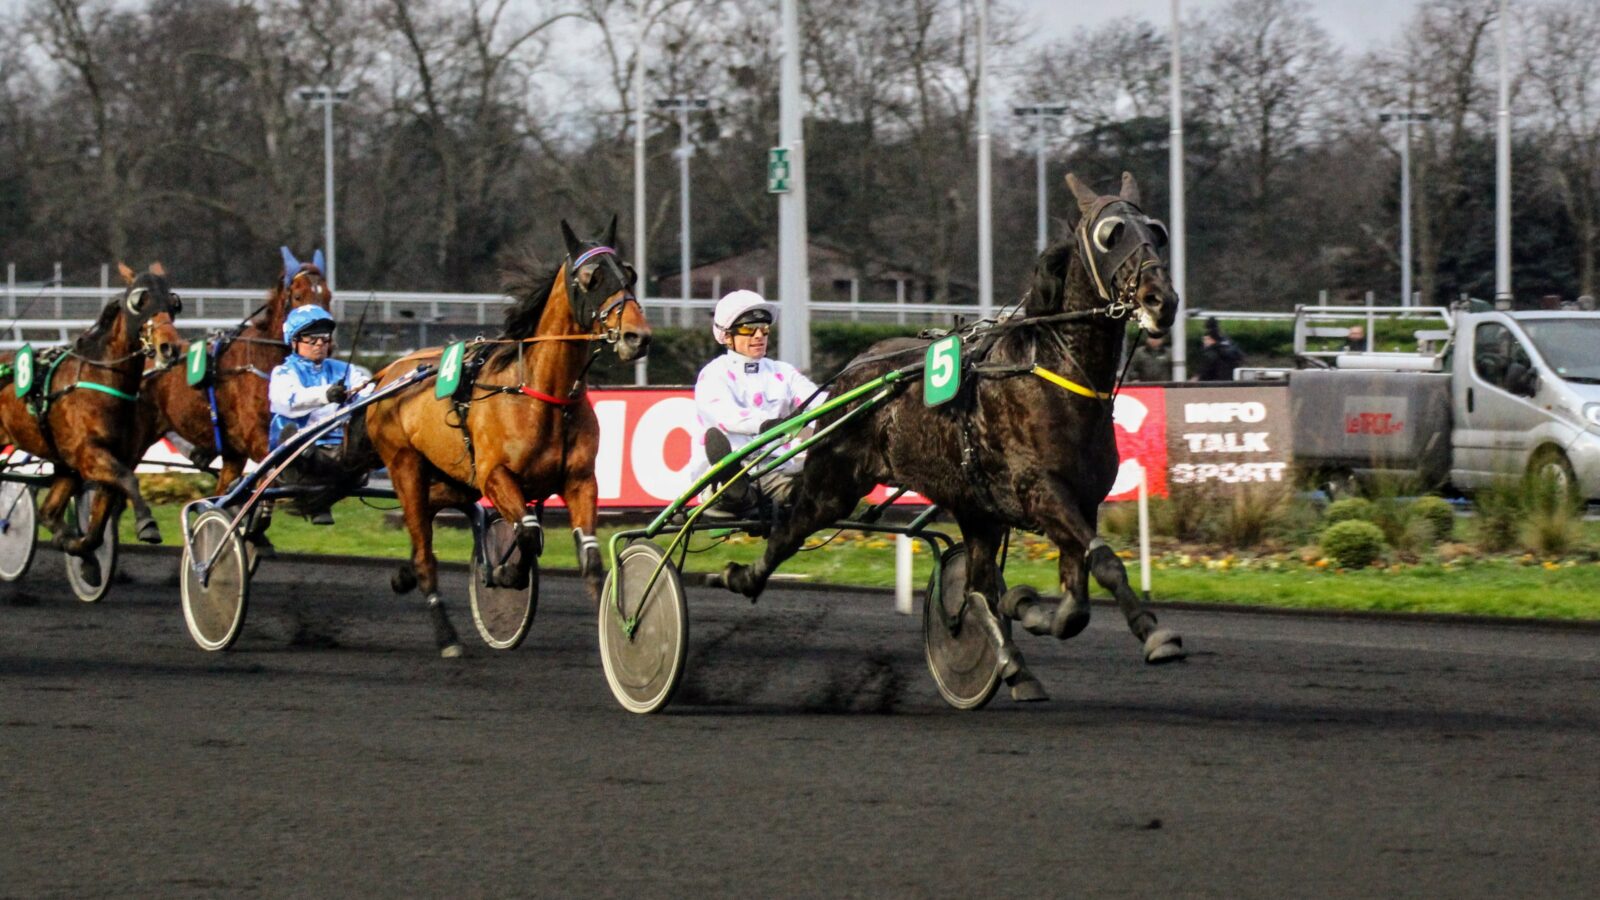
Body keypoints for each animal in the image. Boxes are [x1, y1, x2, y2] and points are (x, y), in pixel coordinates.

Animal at [0, 261, 184, 595]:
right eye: (140, 300)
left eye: (173, 302)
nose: (169, 348)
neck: (100, 379)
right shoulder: (89, 454)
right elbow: (128, 481)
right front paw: (147, 524)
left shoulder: (104, 458)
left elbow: (97, 527)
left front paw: (85, 560)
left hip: (65, 467)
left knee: (48, 511)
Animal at [139, 246, 332, 490]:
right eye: (298, 296)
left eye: (328, 296)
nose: (324, 338)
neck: (264, 359)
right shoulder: (257, 441)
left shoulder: (236, 454)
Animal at [366, 217, 652, 650]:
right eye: (591, 277)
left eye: (630, 273)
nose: (638, 336)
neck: (542, 394)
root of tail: (390, 372)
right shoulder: (495, 475)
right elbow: (530, 534)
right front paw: (505, 574)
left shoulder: (579, 480)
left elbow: (587, 556)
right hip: (405, 465)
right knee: (424, 547)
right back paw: (446, 634)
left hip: (454, 478)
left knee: (428, 519)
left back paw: (404, 574)